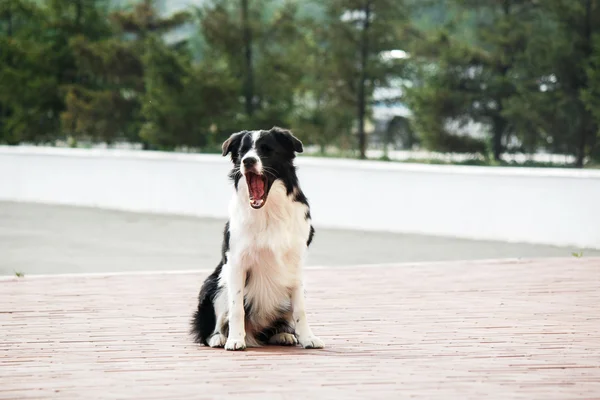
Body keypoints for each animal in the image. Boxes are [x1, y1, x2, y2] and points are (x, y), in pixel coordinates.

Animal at [191, 126, 324, 350]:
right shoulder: (236, 262)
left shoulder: (295, 263)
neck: (268, 211)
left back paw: (282, 335)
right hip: (216, 284)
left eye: (266, 149)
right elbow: (237, 307)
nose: (248, 161)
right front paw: (235, 339)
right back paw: (220, 338)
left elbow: (300, 309)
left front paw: (308, 338)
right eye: (242, 152)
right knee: (214, 324)